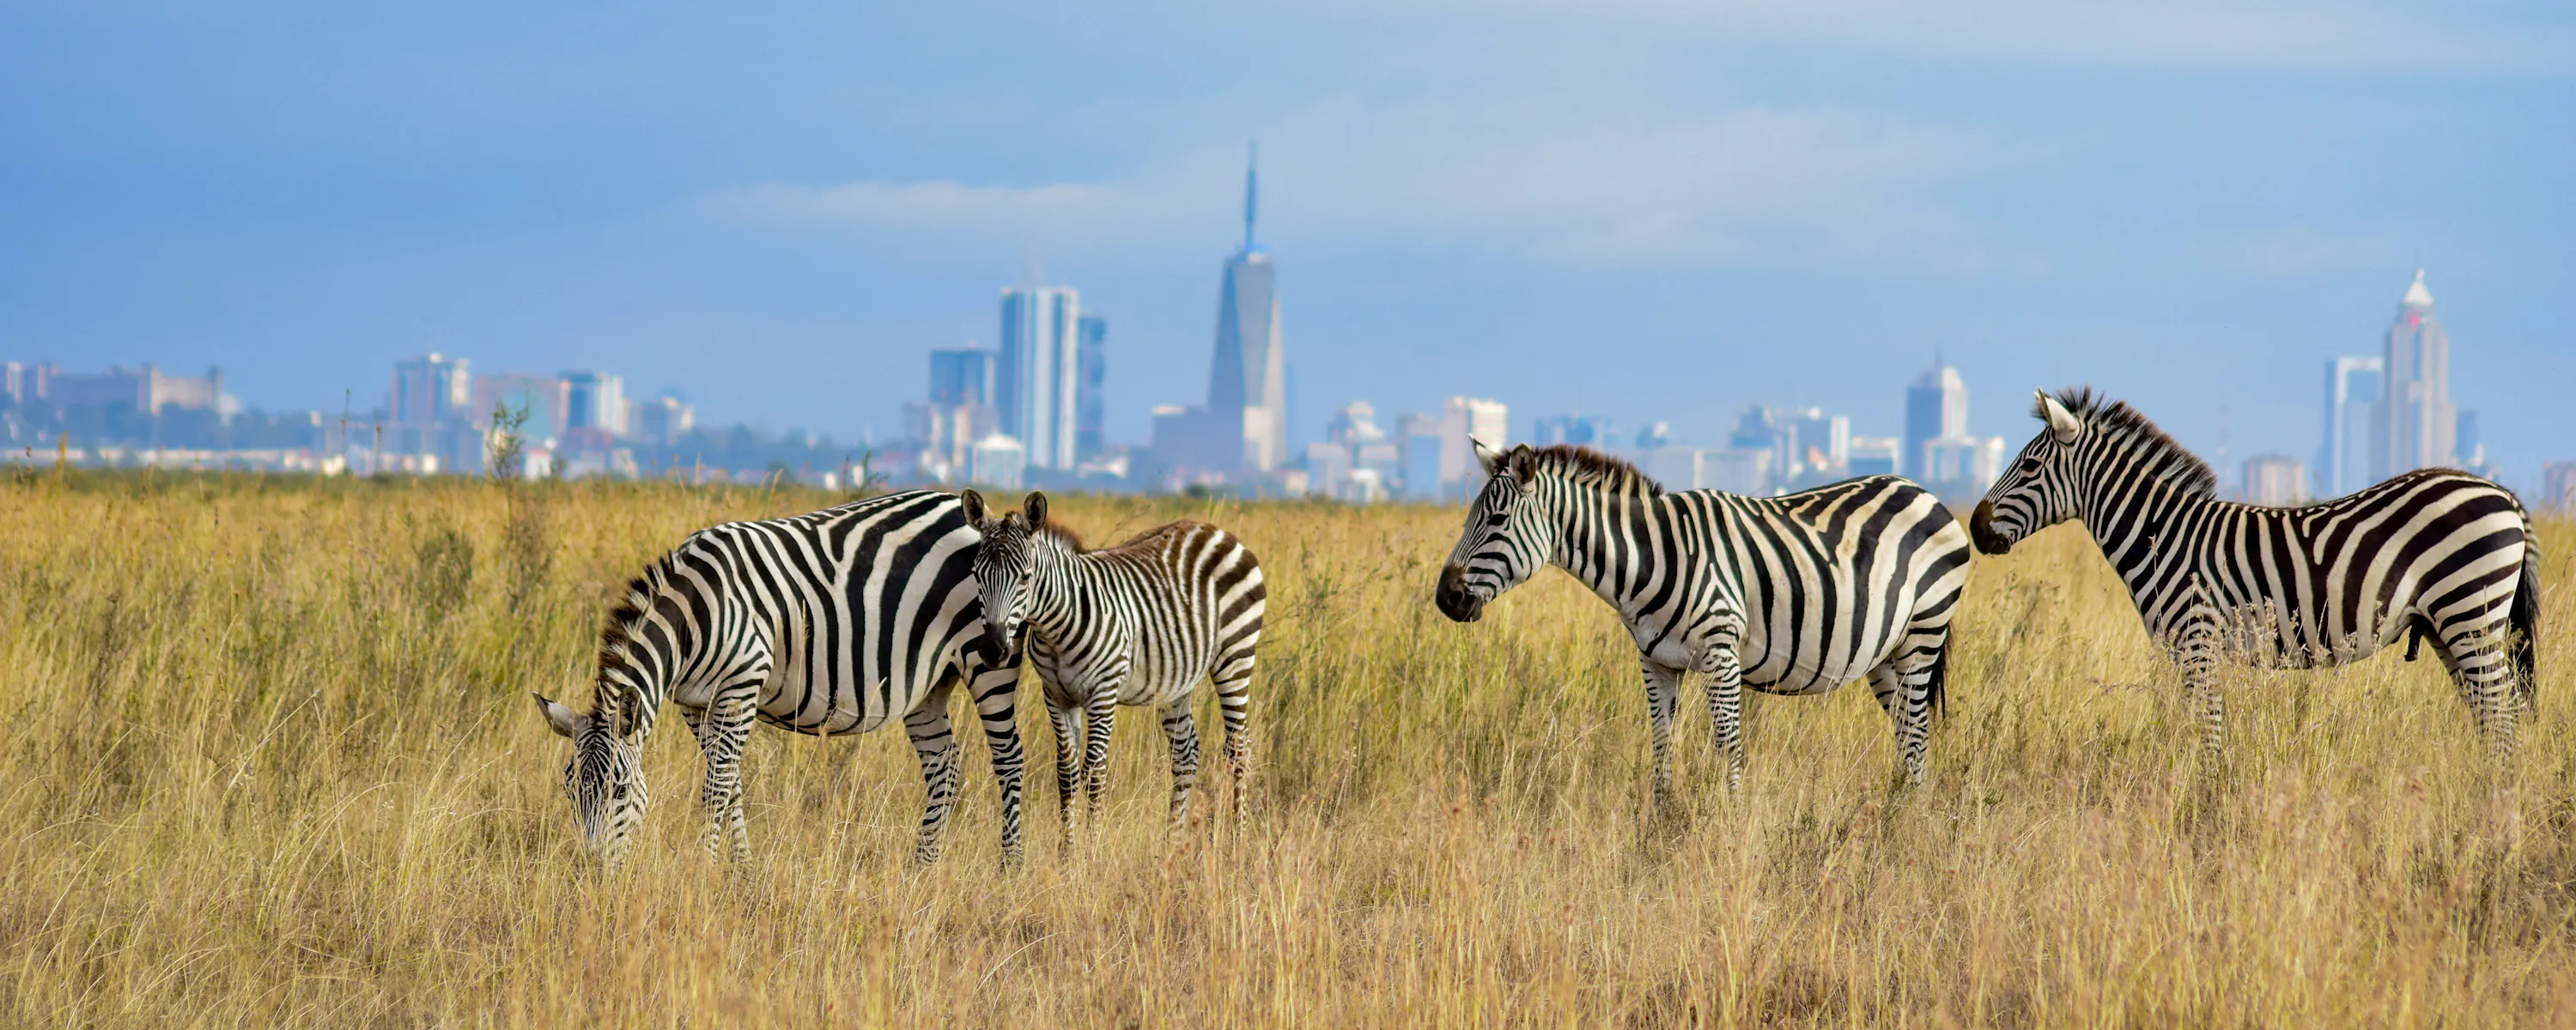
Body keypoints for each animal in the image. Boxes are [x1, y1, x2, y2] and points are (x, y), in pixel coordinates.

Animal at [529, 489, 1029, 869]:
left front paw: (706, 871)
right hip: (929, 682)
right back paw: (922, 867)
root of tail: (967, 510)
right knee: (945, 765)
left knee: (1008, 759)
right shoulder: (694, 704)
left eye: (620, 789)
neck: (693, 617)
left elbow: (716, 787)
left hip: (988, 657)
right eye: (570, 790)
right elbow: (731, 786)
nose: (594, 872)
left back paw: (1010, 868)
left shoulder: (741, 685)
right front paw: (743, 871)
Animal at [962, 490, 1264, 838]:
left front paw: (1091, 848)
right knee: (1186, 754)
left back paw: (1238, 837)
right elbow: (1066, 773)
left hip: (1235, 656)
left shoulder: (1102, 695)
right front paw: (1067, 848)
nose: (993, 650)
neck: (1056, 628)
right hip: (1177, 680)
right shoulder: (1055, 696)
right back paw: (1172, 839)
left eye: (1025, 578)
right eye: (976, 575)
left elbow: (1094, 774)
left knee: (1240, 748)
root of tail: (1216, 530)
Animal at [1434, 442, 1975, 800]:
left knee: (1919, 735)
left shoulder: (1722, 654)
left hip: (1924, 633)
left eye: (1497, 522)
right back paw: (1899, 812)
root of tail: (1924, 492)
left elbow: (1727, 749)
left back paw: (1909, 823)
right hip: (1886, 655)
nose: (1445, 598)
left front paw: (1729, 830)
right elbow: (1661, 748)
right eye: (1467, 518)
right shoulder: (1656, 663)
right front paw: (1659, 828)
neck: (1651, 559)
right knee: (1907, 735)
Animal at [1970, 387, 2541, 760]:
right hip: (2450, 625)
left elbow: (2209, 732)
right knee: (2491, 713)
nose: (1975, 528)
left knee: (2502, 713)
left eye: (2028, 467)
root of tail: (2503, 493)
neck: (2162, 535)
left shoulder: (2197, 643)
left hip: (2469, 612)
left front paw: (2207, 802)